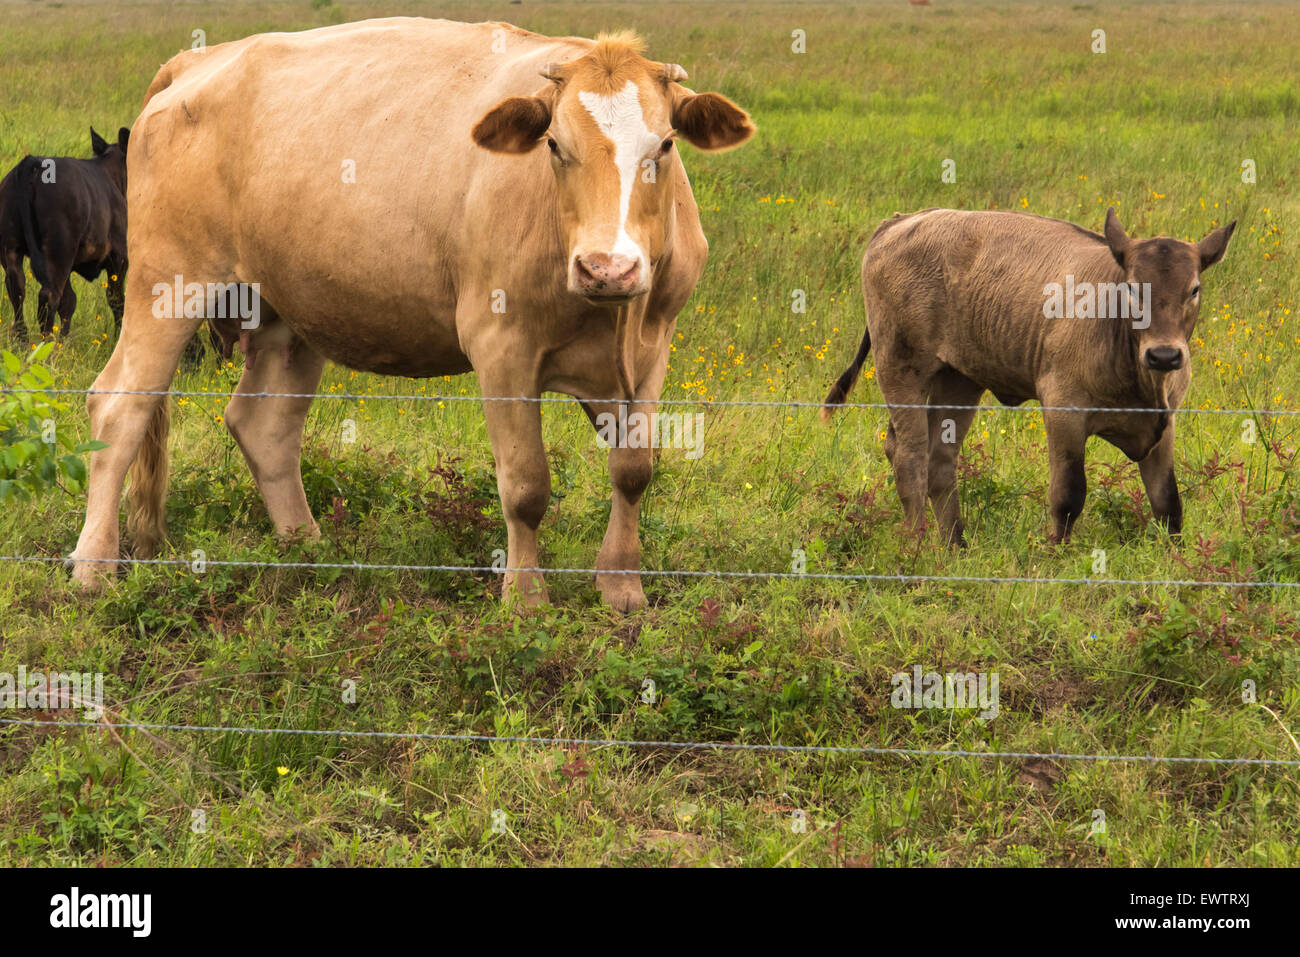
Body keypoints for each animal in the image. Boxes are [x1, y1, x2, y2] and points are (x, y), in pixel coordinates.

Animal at [0, 127, 129, 342]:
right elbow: (116, 298)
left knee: (17, 289)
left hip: (12, 247)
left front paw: (65, 341)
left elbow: (69, 302)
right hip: (58, 251)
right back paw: (46, 345)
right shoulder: (119, 256)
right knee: (49, 296)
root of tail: (33, 162)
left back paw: (25, 341)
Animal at [69, 18, 754, 611]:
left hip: (287, 309)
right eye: (555, 146)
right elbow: (526, 485)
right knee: (120, 406)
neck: (608, 316)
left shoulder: (654, 345)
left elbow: (634, 470)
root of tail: (198, 62)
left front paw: (622, 589)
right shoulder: (502, 347)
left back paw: (307, 550)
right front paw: (526, 600)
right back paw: (94, 566)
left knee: (263, 426)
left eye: (665, 145)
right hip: (167, 282)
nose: (607, 268)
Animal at [822, 207, 1235, 546]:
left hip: (958, 381)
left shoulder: (1164, 426)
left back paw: (956, 545)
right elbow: (1068, 497)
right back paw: (916, 547)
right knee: (910, 456)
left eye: (1194, 289)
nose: (1164, 354)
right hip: (900, 371)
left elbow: (1168, 504)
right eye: (1133, 288)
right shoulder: (1064, 414)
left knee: (940, 459)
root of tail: (900, 222)